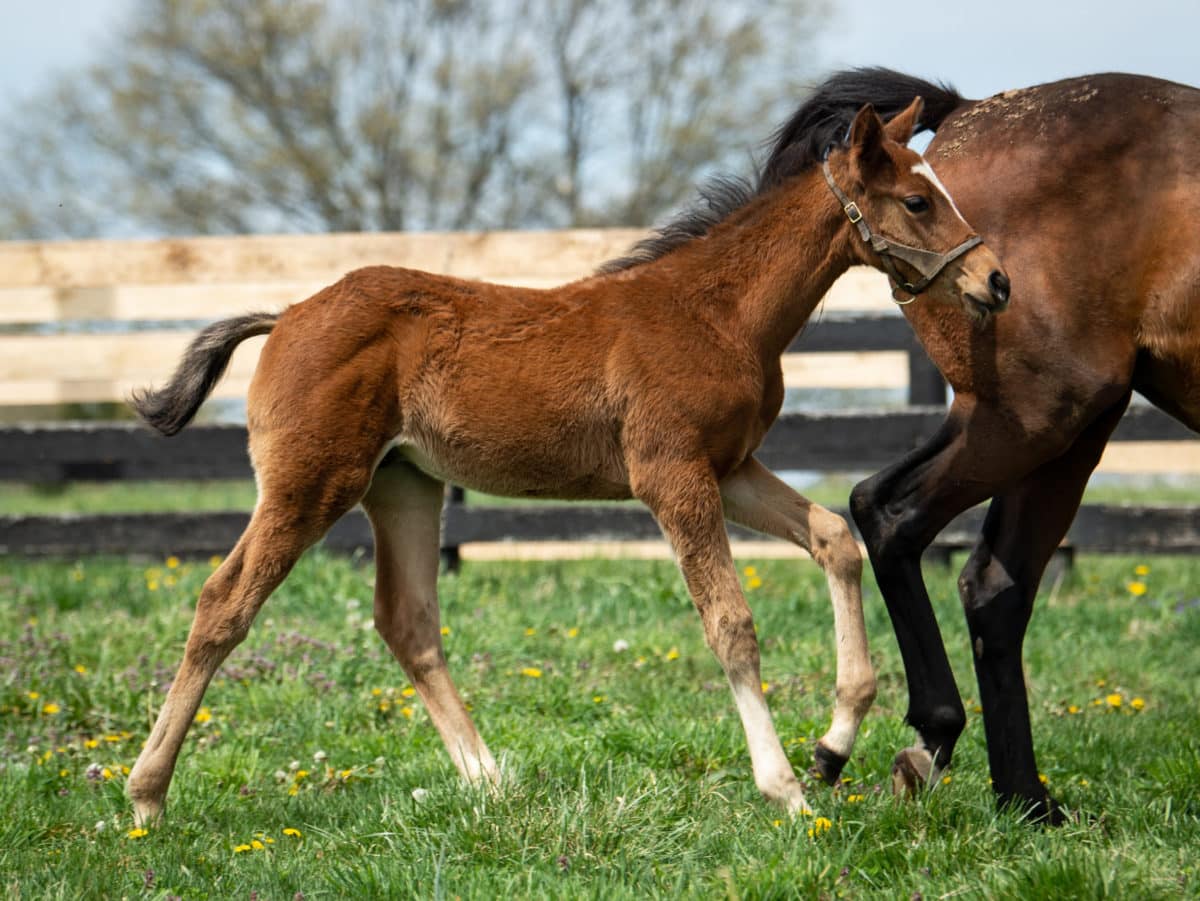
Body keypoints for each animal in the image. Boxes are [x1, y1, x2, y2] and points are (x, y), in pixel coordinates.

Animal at [124, 98, 1003, 825]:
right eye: (918, 201)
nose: (994, 281)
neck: (715, 313)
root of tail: (287, 315)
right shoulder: (672, 474)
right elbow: (731, 622)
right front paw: (784, 786)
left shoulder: (730, 467)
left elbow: (833, 538)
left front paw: (835, 740)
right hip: (310, 484)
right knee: (223, 601)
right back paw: (146, 795)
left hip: (404, 484)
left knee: (408, 620)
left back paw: (488, 778)